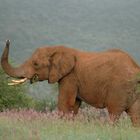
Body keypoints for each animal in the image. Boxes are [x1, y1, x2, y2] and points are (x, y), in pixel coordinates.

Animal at [0, 40, 140, 126]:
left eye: (36, 64)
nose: (8, 40)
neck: (55, 49)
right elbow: (74, 105)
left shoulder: (70, 77)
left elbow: (65, 103)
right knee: (136, 115)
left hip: (119, 88)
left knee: (114, 113)